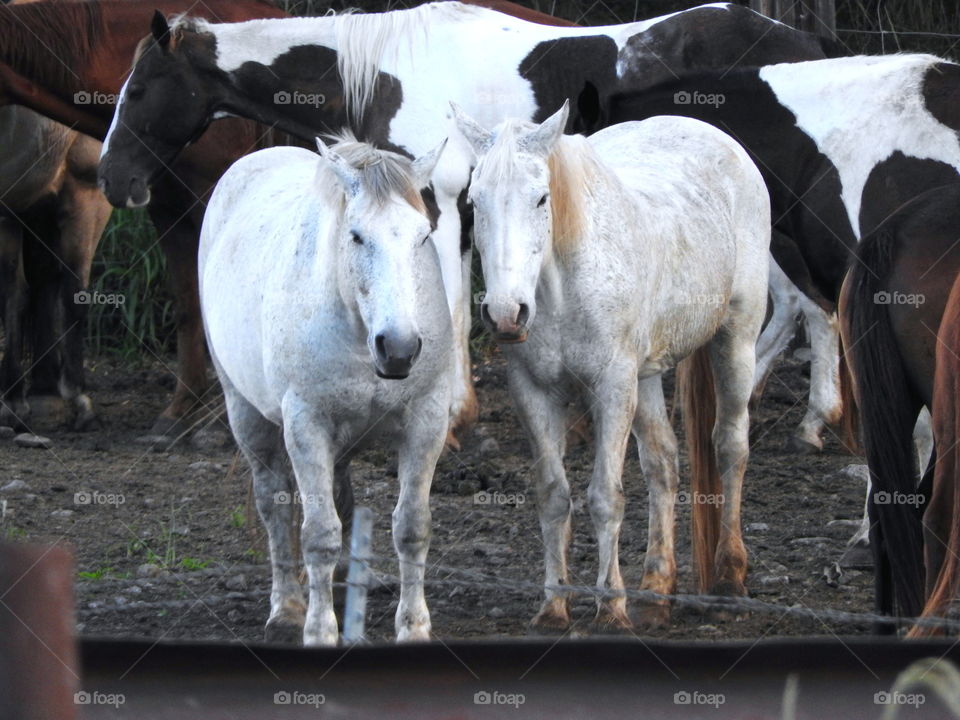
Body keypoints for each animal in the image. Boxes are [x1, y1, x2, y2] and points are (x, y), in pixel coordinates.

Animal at [96, 1, 837, 442]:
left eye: (139, 89)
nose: (110, 178)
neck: (386, 73)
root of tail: (804, 39)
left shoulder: (439, 203)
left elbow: (449, 304)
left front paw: (453, 415)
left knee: (814, 303)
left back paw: (818, 417)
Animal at [200, 134, 451, 645]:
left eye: (422, 236)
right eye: (356, 236)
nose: (399, 348)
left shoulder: (428, 418)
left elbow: (412, 527)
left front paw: (413, 625)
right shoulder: (306, 425)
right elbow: (318, 534)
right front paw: (319, 630)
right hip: (247, 415)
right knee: (274, 505)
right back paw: (287, 607)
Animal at [452, 102, 770, 629]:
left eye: (541, 199)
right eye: (475, 202)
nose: (505, 313)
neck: (562, 288)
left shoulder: (613, 387)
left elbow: (605, 496)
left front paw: (610, 607)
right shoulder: (533, 391)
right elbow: (553, 495)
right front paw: (554, 606)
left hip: (735, 339)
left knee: (730, 446)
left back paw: (729, 575)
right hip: (648, 375)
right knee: (663, 462)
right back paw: (656, 590)